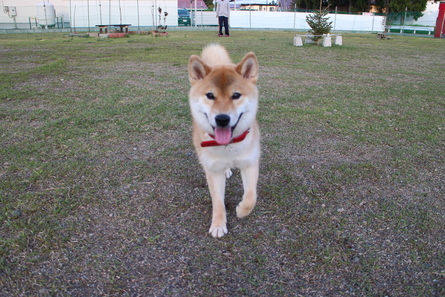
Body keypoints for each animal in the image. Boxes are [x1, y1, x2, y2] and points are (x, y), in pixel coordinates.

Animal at [187, 44, 260, 237]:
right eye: (210, 95)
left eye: (236, 95)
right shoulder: (212, 170)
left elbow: (251, 197)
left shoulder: (250, 163)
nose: (221, 119)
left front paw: (241, 210)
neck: (228, 146)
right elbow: (218, 201)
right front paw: (219, 224)